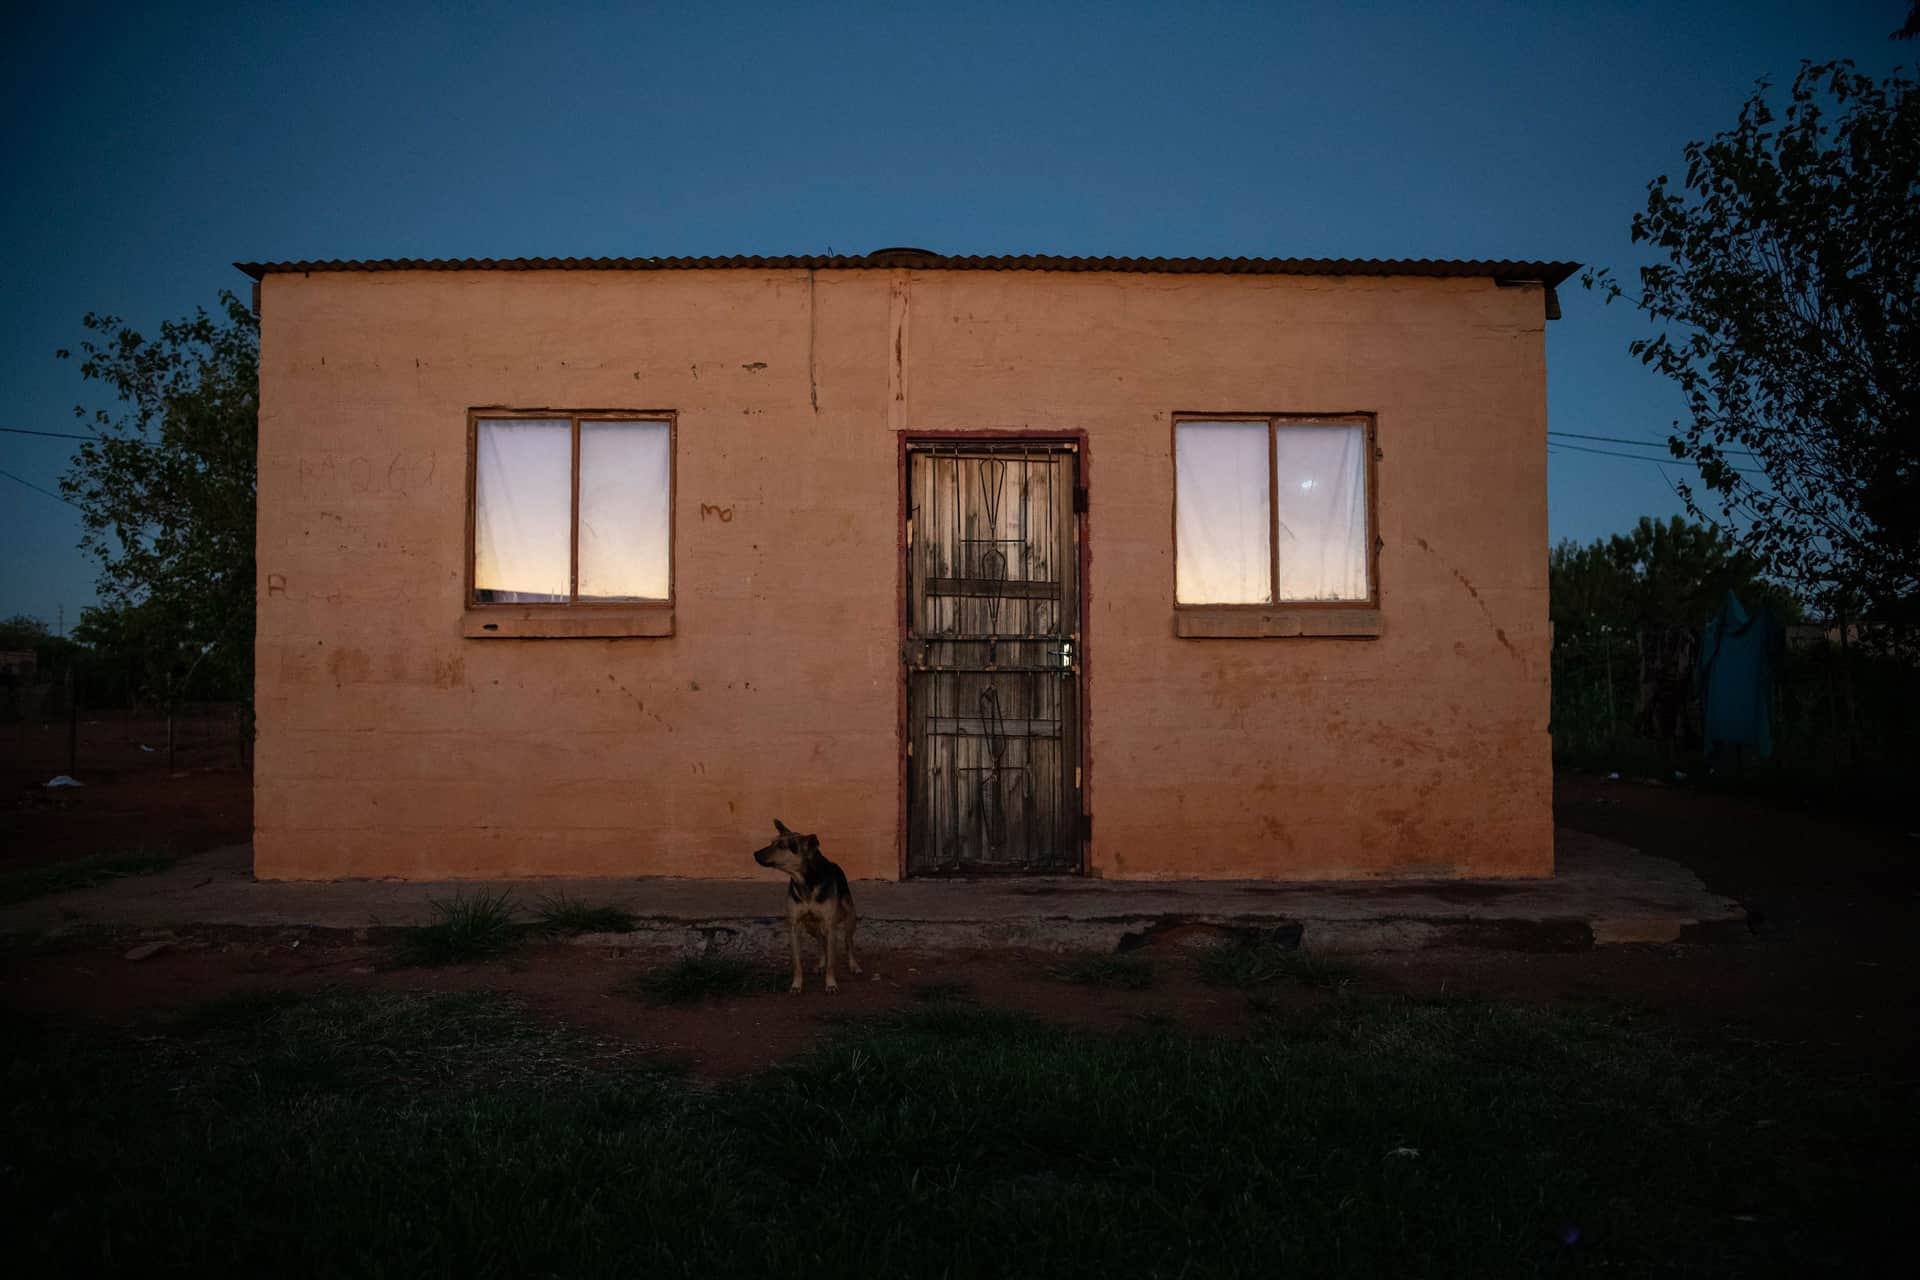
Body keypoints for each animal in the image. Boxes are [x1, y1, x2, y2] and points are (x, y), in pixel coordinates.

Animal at [748, 825, 864, 997]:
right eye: (771, 842)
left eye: (781, 846)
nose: (755, 853)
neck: (804, 881)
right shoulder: (794, 926)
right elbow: (797, 962)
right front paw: (796, 985)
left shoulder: (830, 926)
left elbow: (832, 962)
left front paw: (831, 984)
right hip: (811, 927)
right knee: (822, 943)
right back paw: (821, 964)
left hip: (850, 918)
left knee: (848, 942)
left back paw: (854, 965)